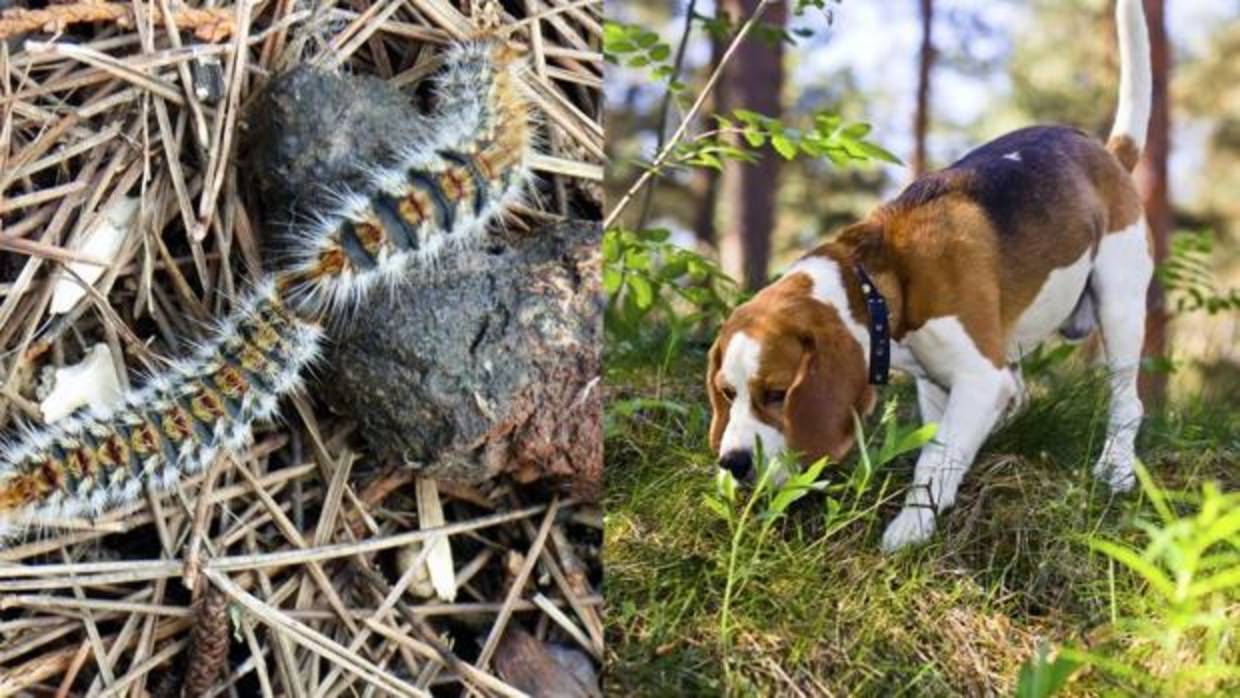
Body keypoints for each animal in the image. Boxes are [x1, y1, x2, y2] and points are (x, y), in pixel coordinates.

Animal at [709, 0, 1150, 552]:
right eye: (727, 393)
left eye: (776, 394)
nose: (732, 462)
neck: (879, 285)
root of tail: (1108, 155)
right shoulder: (938, 384)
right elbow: (943, 446)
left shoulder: (978, 377)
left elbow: (934, 459)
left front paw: (910, 528)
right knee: (1021, 393)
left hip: (1120, 303)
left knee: (1127, 400)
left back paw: (1116, 467)